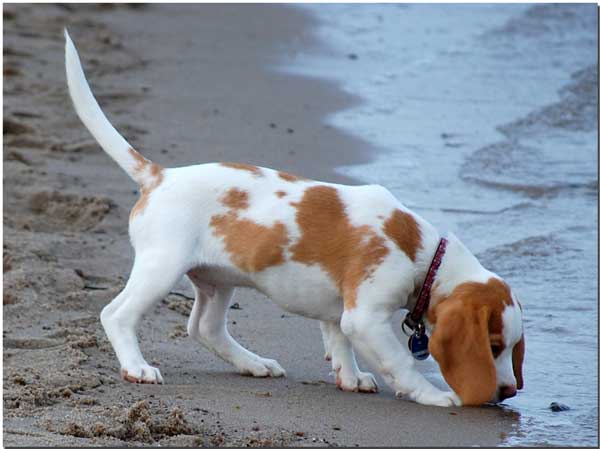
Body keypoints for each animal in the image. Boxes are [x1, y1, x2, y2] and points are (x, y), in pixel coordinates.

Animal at [65, 30, 524, 406]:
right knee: (117, 315)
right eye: (493, 346)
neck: (423, 254)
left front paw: (350, 377)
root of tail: (160, 176)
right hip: (161, 269)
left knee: (205, 329)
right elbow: (402, 364)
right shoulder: (366, 319)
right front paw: (433, 394)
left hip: (217, 281)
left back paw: (253, 363)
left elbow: (339, 342)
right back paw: (137, 367)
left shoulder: (341, 313)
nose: (506, 392)